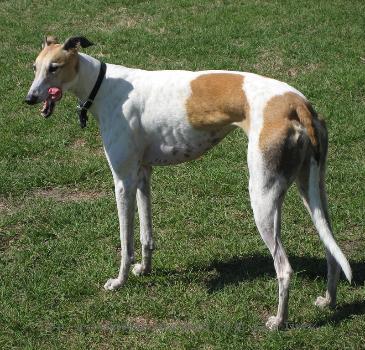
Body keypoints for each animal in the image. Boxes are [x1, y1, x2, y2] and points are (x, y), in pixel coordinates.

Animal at [24, 37, 350, 330]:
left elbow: (125, 242)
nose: (29, 99)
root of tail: (298, 103)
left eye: (54, 67)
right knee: (331, 250)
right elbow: (146, 234)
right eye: (35, 67)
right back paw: (328, 301)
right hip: (312, 190)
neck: (103, 86)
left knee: (284, 268)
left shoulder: (123, 181)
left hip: (263, 196)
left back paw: (279, 321)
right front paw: (145, 269)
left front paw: (119, 281)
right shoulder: (142, 175)